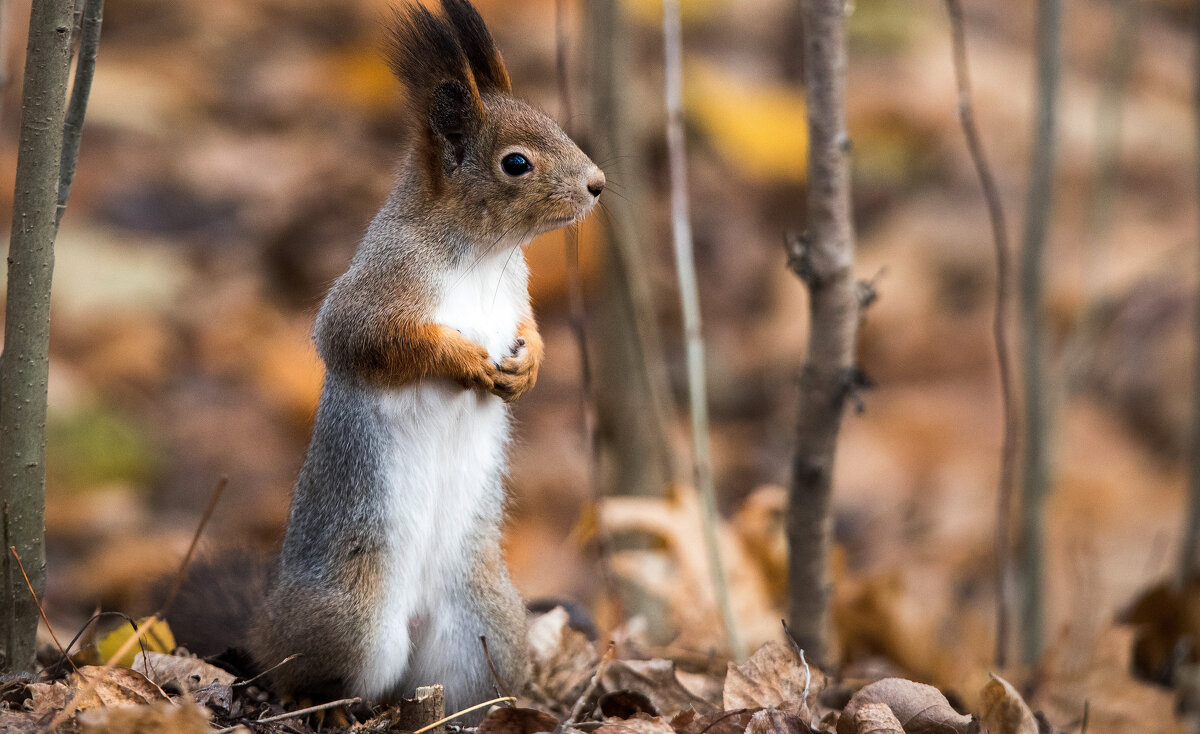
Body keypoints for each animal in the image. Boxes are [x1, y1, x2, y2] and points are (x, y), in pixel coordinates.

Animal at [237, 0, 604, 714]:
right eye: (516, 163)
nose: (598, 184)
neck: (481, 255)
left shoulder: (515, 294)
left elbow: (530, 330)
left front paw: (529, 366)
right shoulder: (379, 286)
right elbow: (362, 338)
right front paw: (462, 359)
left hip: (485, 623)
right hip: (348, 616)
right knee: (309, 675)